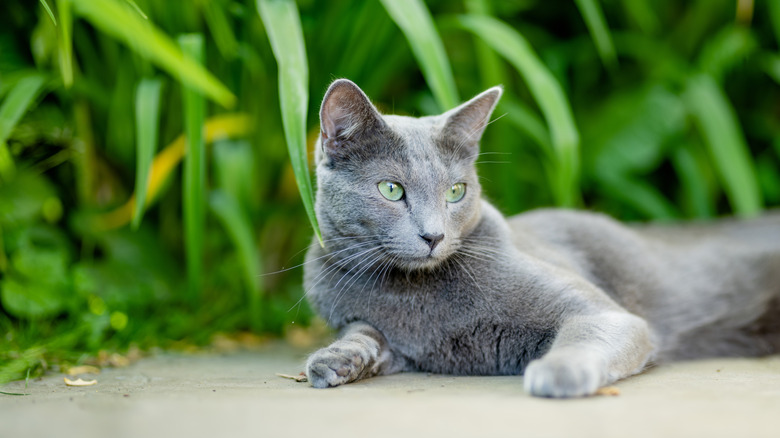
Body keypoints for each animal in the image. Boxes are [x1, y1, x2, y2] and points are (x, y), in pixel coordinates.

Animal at [304, 78, 780, 396]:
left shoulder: (605, 313)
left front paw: (557, 371)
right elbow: (366, 332)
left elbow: (587, 331)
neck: (409, 292)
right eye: (391, 189)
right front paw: (336, 359)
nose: (433, 235)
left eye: (455, 192)